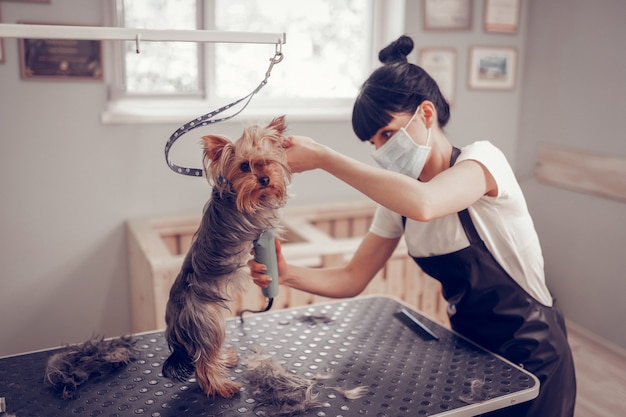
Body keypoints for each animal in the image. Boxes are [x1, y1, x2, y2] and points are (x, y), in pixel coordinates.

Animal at [158, 114, 290, 396]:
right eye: (244, 166)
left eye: (268, 162)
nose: (265, 179)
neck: (235, 195)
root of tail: (173, 324)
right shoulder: (260, 224)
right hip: (209, 324)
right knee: (203, 364)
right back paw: (222, 387)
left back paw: (225, 360)